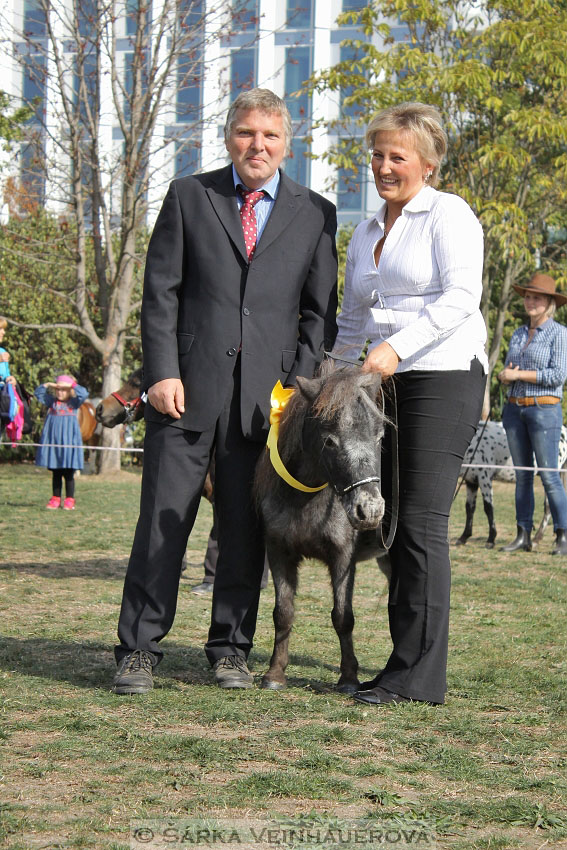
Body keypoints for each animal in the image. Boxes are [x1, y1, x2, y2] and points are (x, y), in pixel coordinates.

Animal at [254, 368, 390, 692]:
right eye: (329, 441)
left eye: (380, 437)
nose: (370, 511)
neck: (305, 500)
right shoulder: (278, 552)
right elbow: (283, 612)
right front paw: (275, 674)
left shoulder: (343, 558)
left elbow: (343, 616)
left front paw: (349, 678)